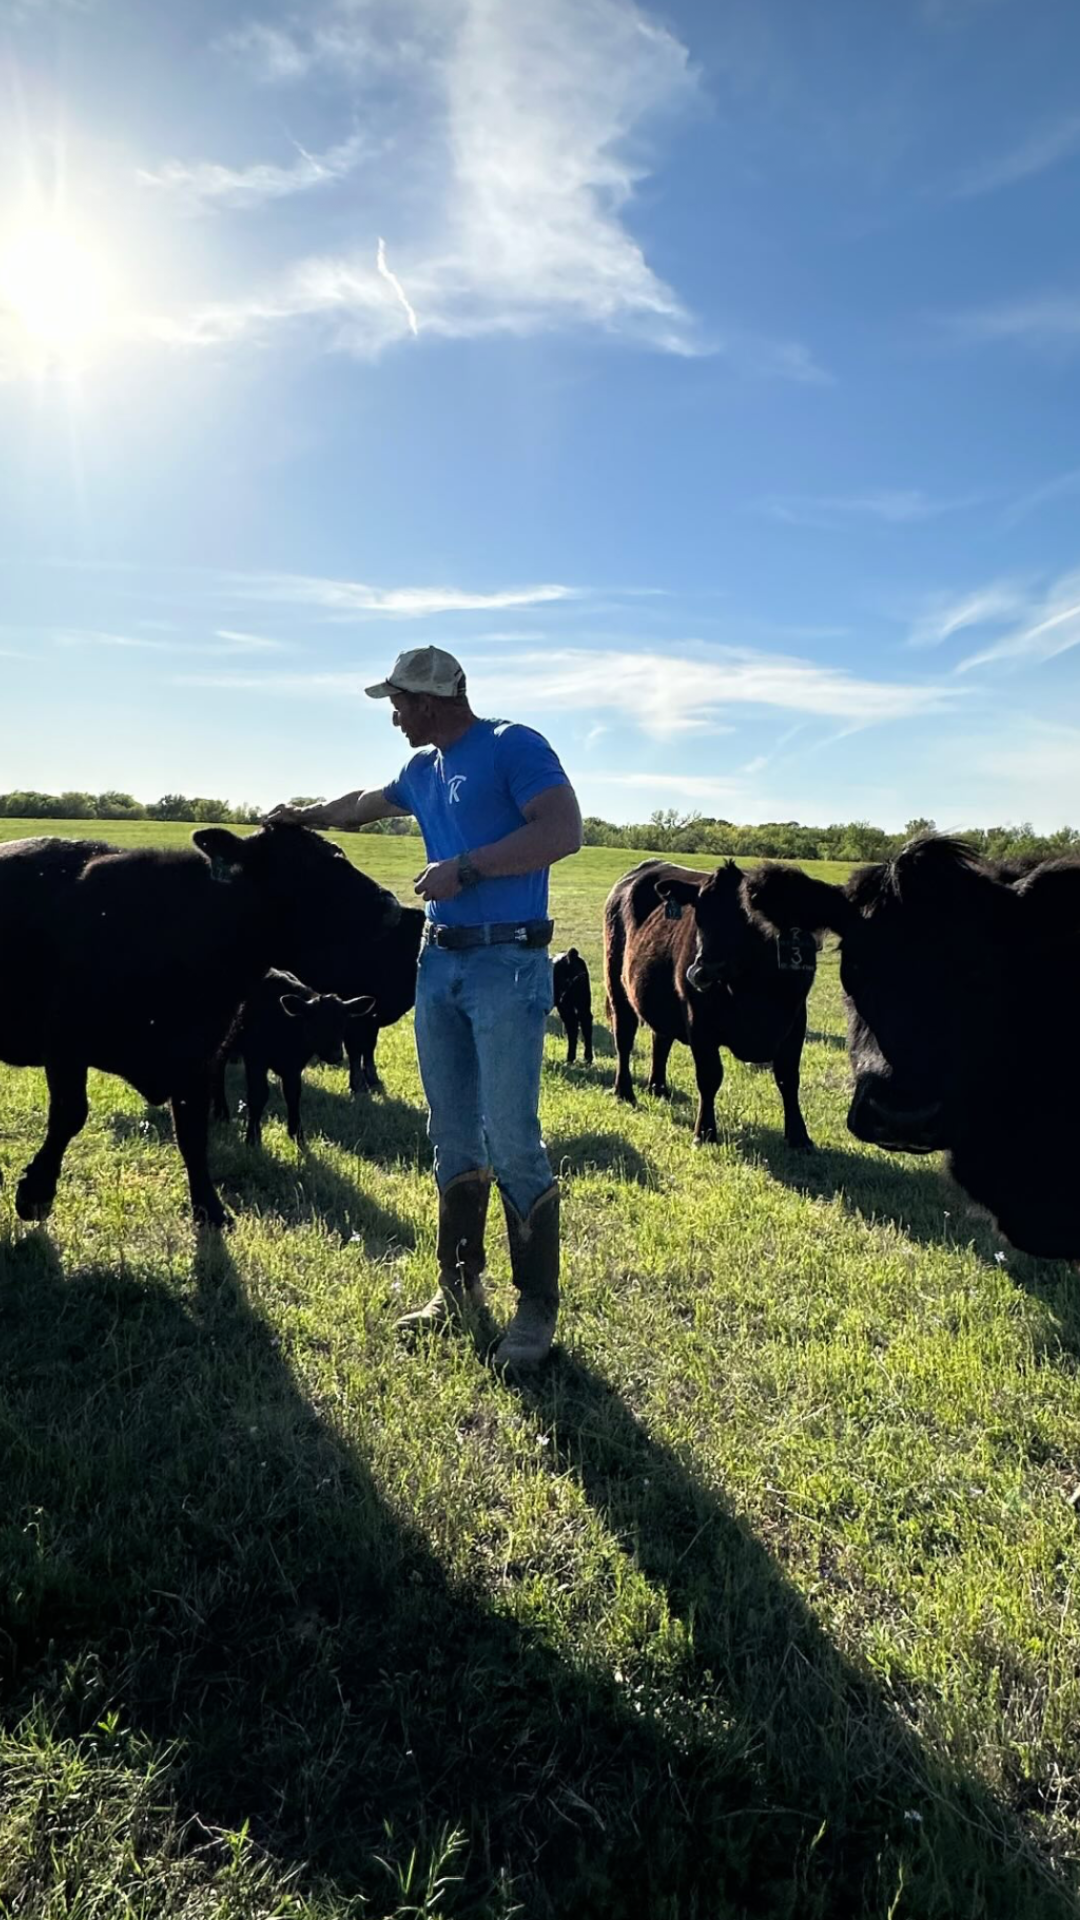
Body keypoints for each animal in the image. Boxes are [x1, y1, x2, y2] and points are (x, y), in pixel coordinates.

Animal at [212, 967, 376, 1144]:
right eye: (316, 1024)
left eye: (343, 1024)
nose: (336, 1055)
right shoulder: (255, 1058)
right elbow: (258, 1095)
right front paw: (253, 1137)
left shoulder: (294, 1066)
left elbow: (293, 1094)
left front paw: (297, 1134)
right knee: (217, 1068)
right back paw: (221, 1113)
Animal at [595, 864, 814, 1144]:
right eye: (699, 913)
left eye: (746, 915)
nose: (701, 970)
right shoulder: (698, 1021)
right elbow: (709, 1076)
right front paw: (705, 1132)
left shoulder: (796, 1020)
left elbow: (788, 1078)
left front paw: (799, 1137)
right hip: (617, 987)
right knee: (623, 1040)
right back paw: (624, 1091)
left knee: (660, 1039)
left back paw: (658, 1088)